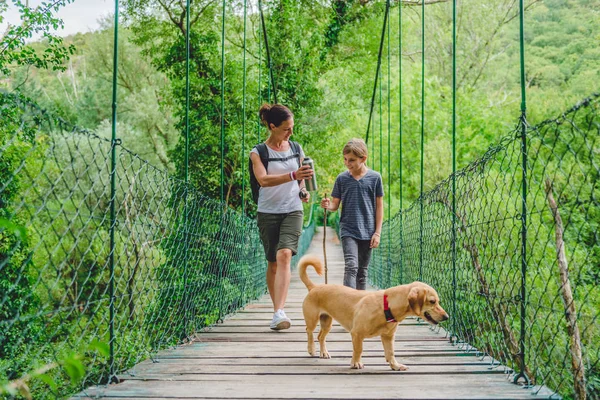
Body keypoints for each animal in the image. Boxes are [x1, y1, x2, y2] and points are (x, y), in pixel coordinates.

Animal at [298, 255, 448, 370]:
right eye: (432, 301)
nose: (446, 317)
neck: (386, 306)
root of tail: (314, 287)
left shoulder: (388, 337)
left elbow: (390, 352)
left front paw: (395, 366)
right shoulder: (357, 334)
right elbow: (359, 349)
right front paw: (356, 363)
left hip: (326, 322)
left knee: (320, 337)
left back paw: (324, 352)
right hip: (312, 319)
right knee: (309, 331)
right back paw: (311, 349)